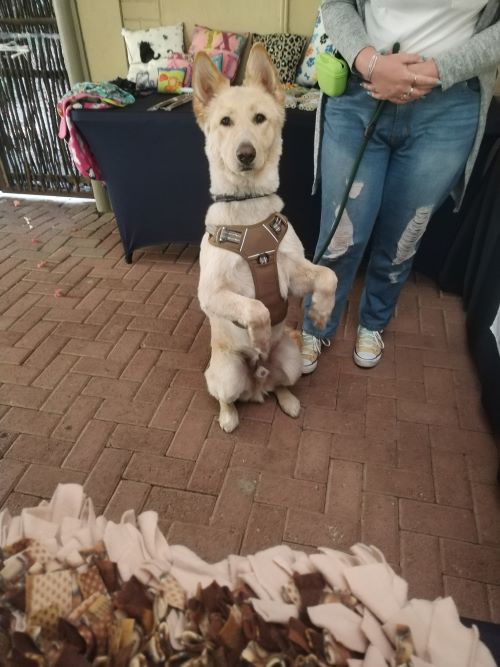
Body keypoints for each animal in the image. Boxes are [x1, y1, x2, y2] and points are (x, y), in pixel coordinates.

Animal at [191, 44, 336, 436]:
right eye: (225, 122)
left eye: (259, 118)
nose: (246, 154)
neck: (249, 210)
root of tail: (256, 380)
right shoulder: (212, 294)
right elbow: (256, 307)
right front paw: (258, 337)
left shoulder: (294, 273)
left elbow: (328, 276)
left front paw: (320, 311)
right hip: (225, 375)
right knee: (226, 397)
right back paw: (229, 416)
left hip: (292, 361)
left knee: (279, 385)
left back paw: (288, 400)